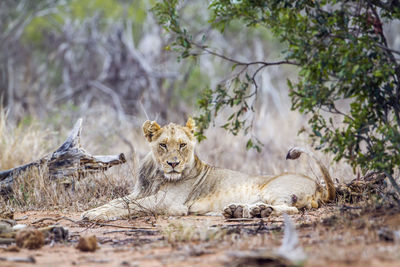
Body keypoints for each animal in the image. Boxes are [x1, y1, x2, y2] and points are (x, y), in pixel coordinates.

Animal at [83, 119, 336, 222]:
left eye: (182, 145)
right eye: (163, 145)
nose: (173, 164)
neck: (157, 176)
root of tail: (320, 187)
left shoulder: (169, 203)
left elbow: (128, 206)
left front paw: (95, 216)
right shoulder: (139, 193)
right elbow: (117, 201)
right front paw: (92, 212)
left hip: (273, 189)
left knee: (288, 209)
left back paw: (256, 211)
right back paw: (236, 210)